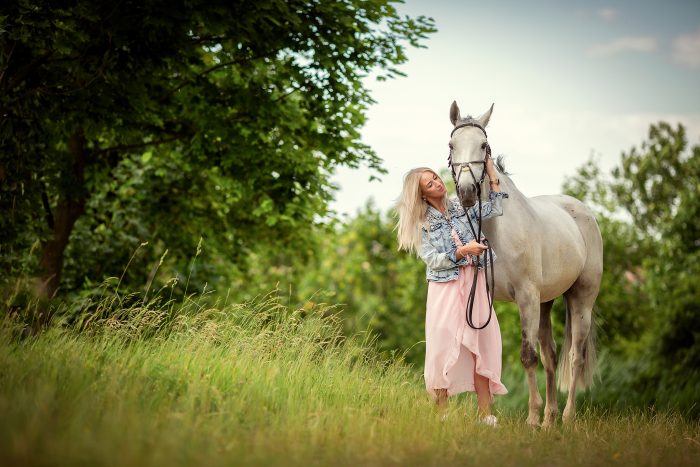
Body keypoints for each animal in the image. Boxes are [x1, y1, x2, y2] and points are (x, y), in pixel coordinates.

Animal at [448, 102, 600, 428]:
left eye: (483, 146)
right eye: (452, 145)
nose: (466, 193)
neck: (497, 231)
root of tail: (582, 211)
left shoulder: (526, 298)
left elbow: (527, 356)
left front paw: (530, 417)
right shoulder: (485, 300)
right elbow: (483, 355)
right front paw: (487, 414)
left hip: (581, 301)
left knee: (575, 356)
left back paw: (566, 417)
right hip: (546, 303)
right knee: (551, 355)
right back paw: (550, 420)